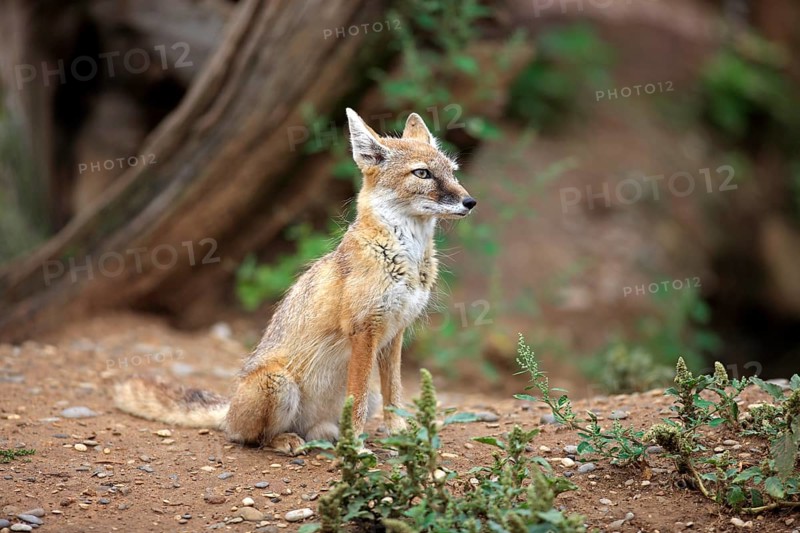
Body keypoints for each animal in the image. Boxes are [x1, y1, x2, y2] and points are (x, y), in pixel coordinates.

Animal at [114, 108, 476, 455]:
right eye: (422, 173)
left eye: (453, 171)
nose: (470, 202)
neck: (405, 260)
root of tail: (229, 409)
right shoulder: (364, 331)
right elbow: (357, 401)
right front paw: (357, 449)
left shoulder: (393, 333)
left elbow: (395, 395)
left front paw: (398, 435)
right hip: (278, 383)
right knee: (249, 438)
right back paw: (285, 441)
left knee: (319, 426)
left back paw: (326, 436)